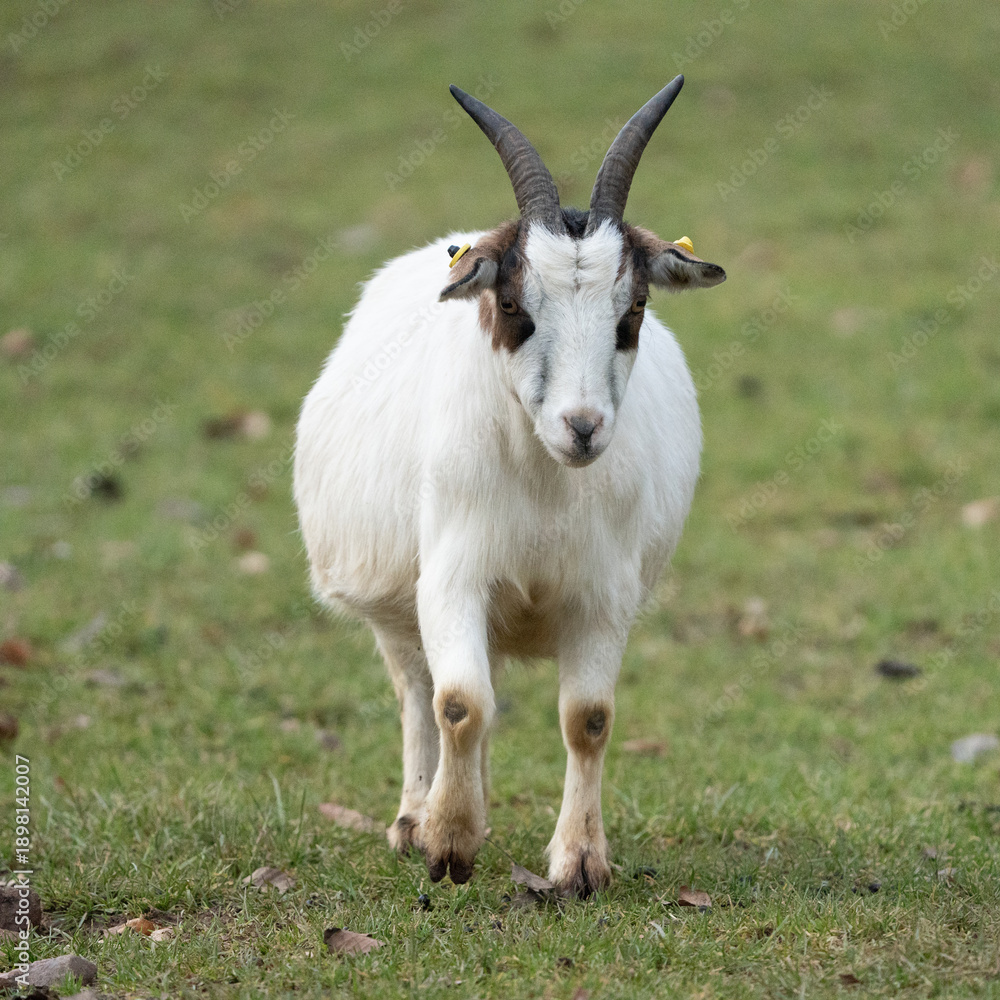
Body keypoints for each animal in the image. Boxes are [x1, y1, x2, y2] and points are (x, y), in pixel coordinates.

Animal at [294, 76, 725, 896]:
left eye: (634, 310)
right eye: (516, 305)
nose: (582, 427)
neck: (546, 486)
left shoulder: (600, 592)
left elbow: (587, 718)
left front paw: (580, 863)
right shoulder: (451, 576)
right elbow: (459, 705)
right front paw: (447, 845)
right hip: (398, 604)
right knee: (419, 693)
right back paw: (414, 816)